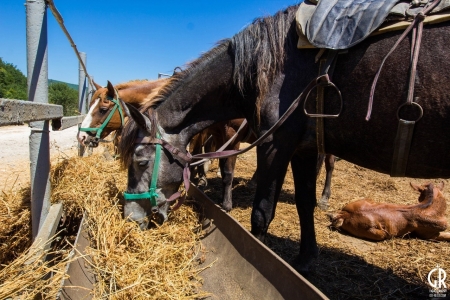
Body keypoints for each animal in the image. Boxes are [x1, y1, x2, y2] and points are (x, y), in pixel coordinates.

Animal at [117, 3, 450, 274]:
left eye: (141, 161)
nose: (130, 218)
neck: (267, 66)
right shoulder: (303, 149)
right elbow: (304, 203)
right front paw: (305, 260)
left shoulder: (274, 145)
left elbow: (261, 211)